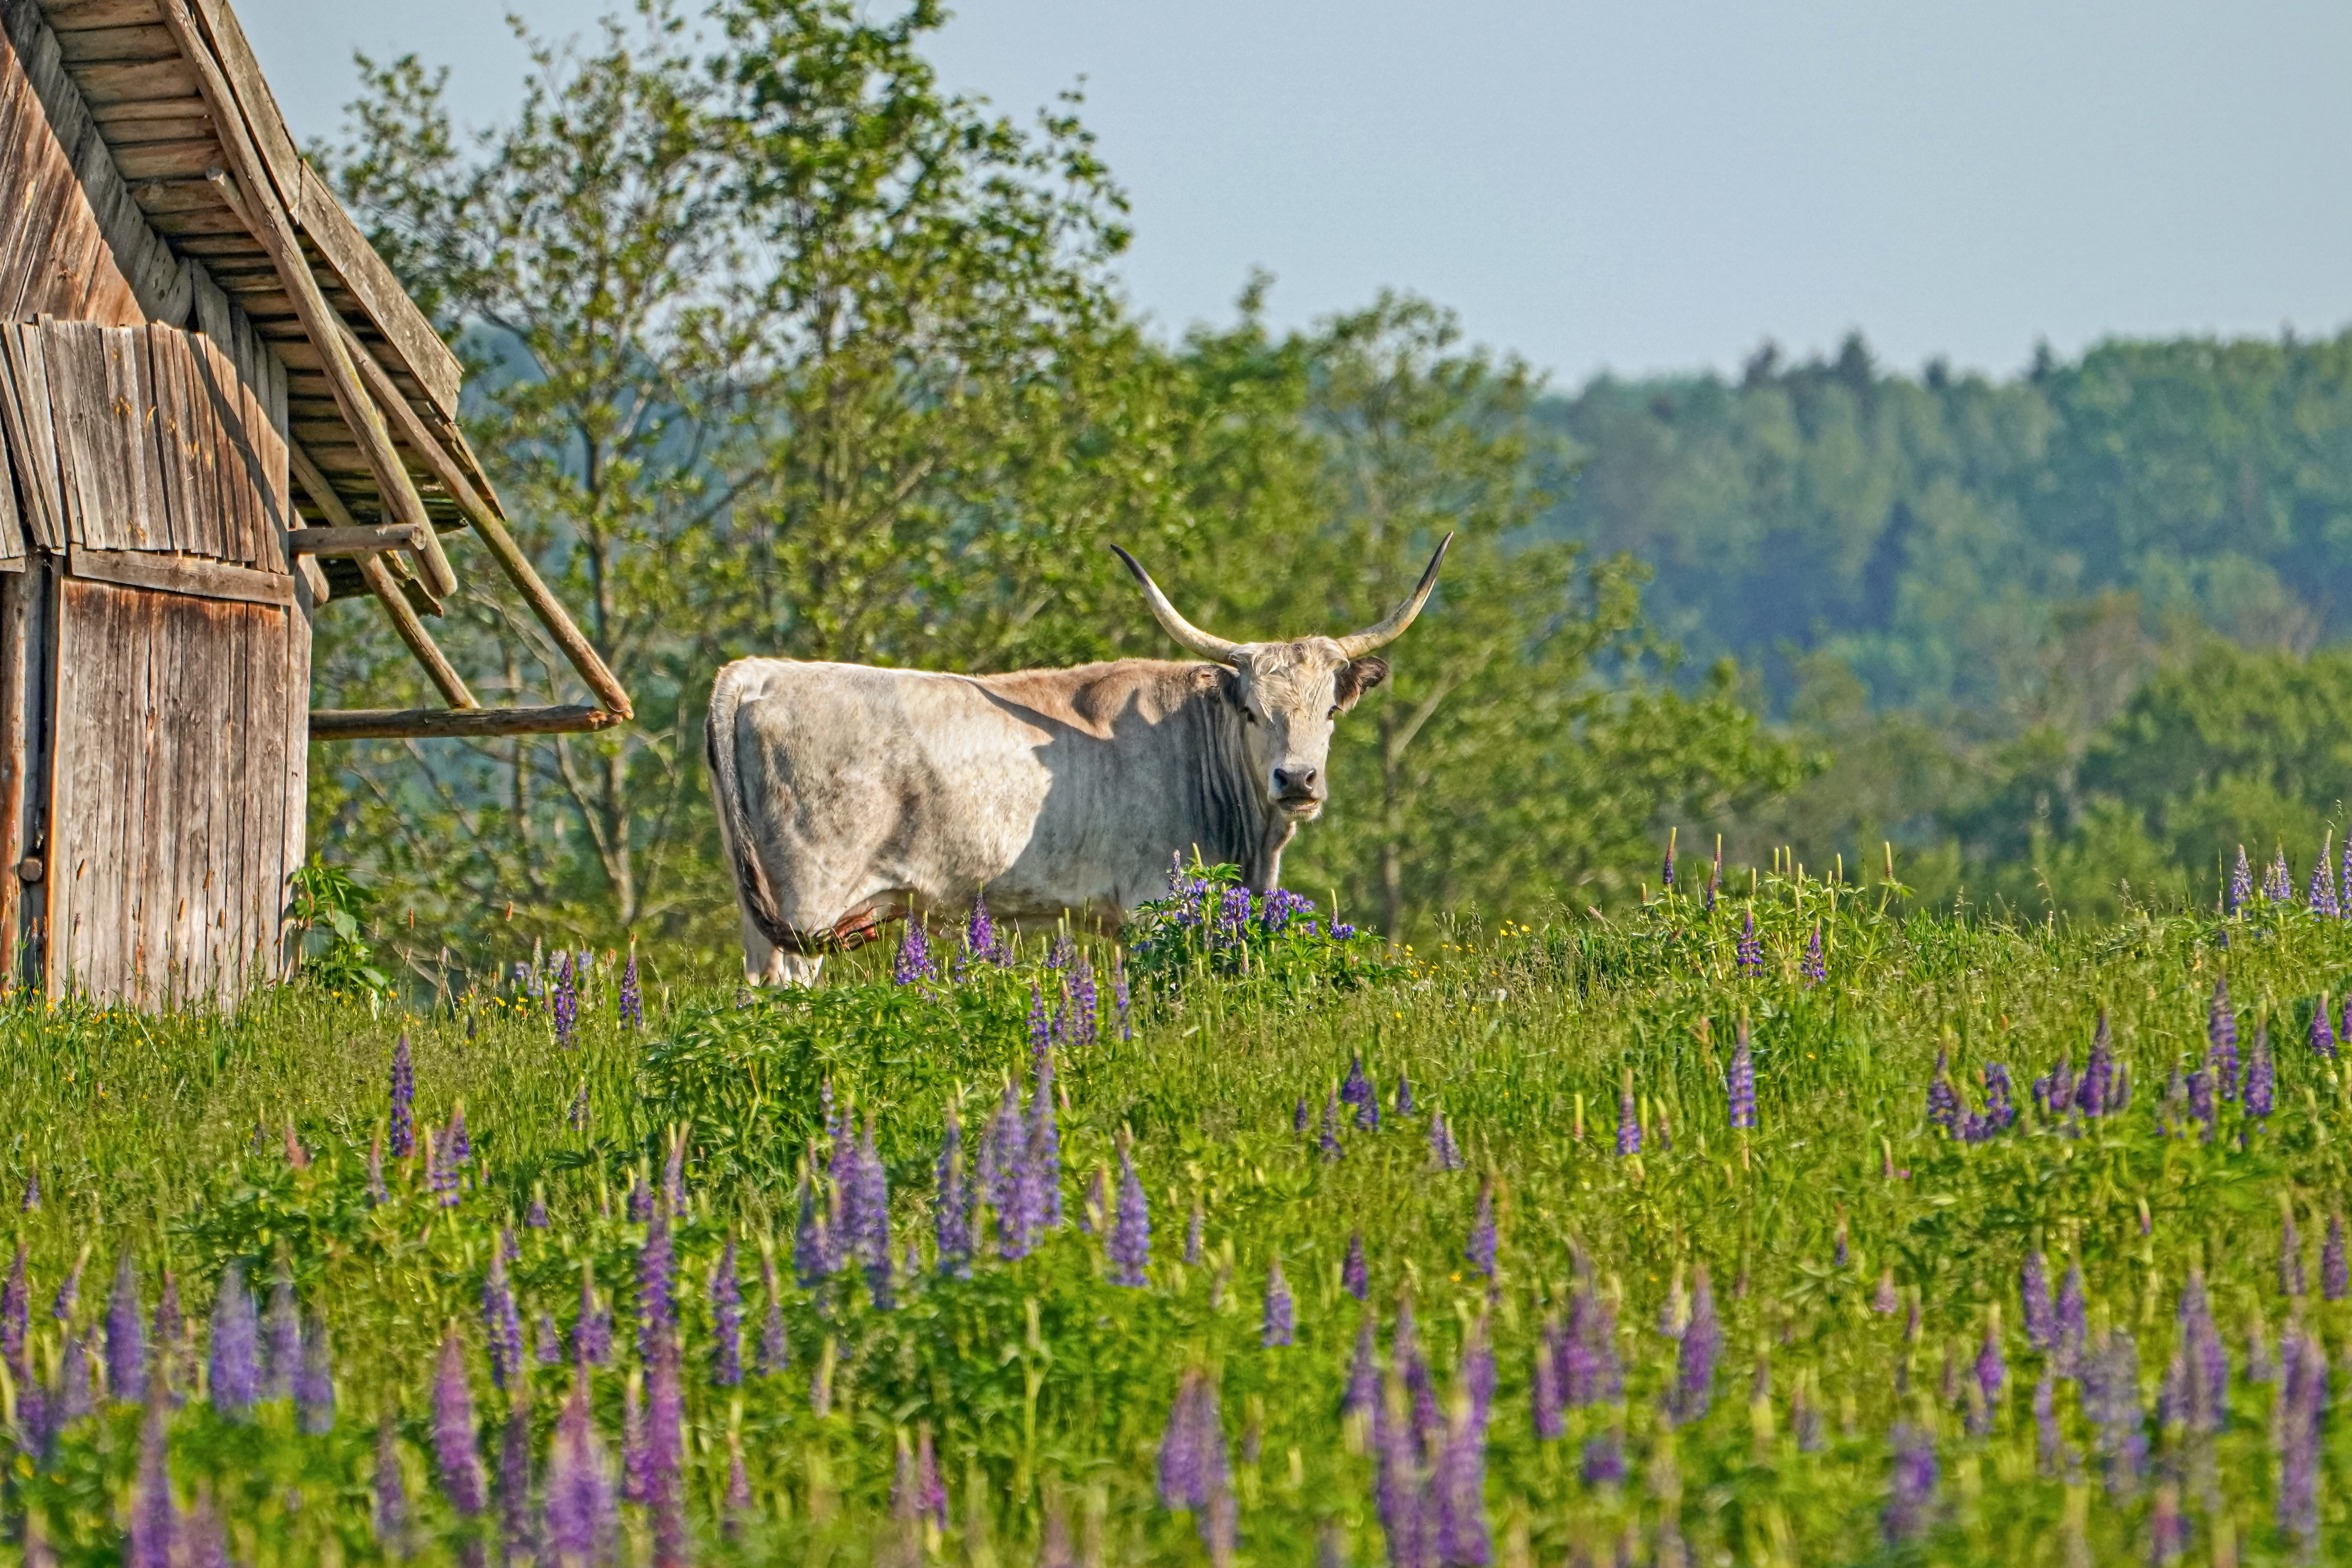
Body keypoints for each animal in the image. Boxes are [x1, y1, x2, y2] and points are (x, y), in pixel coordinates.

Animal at [704, 535, 1451, 983]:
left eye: (1330, 711)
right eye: (1251, 712)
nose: (1297, 778)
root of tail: (755, 672)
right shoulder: (1154, 904)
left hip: (759, 910)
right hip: (807, 906)